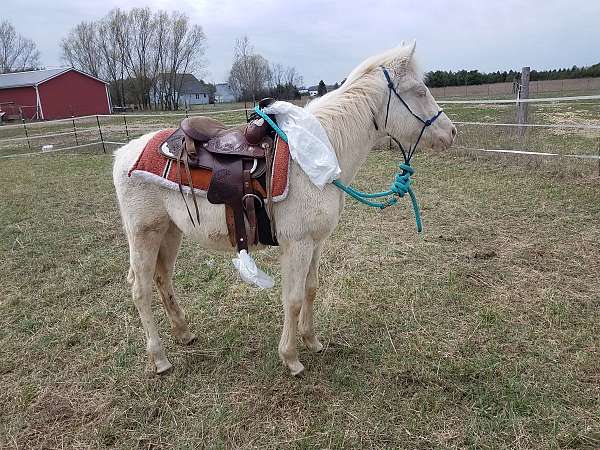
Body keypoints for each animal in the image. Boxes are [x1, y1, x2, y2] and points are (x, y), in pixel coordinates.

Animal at [112, 42, 458, 374]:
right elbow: (292, 299)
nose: (452, 132)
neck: (319, 152)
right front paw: (291, 357)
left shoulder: (317, 242)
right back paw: (159, 358)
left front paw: (312, 340)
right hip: (144, 234)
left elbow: (311, 289)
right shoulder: (298, 243)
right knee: (140, 289)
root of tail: (124, 153)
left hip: (170, 232)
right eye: (419, 91)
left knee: (163, 279)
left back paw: (183, 333)